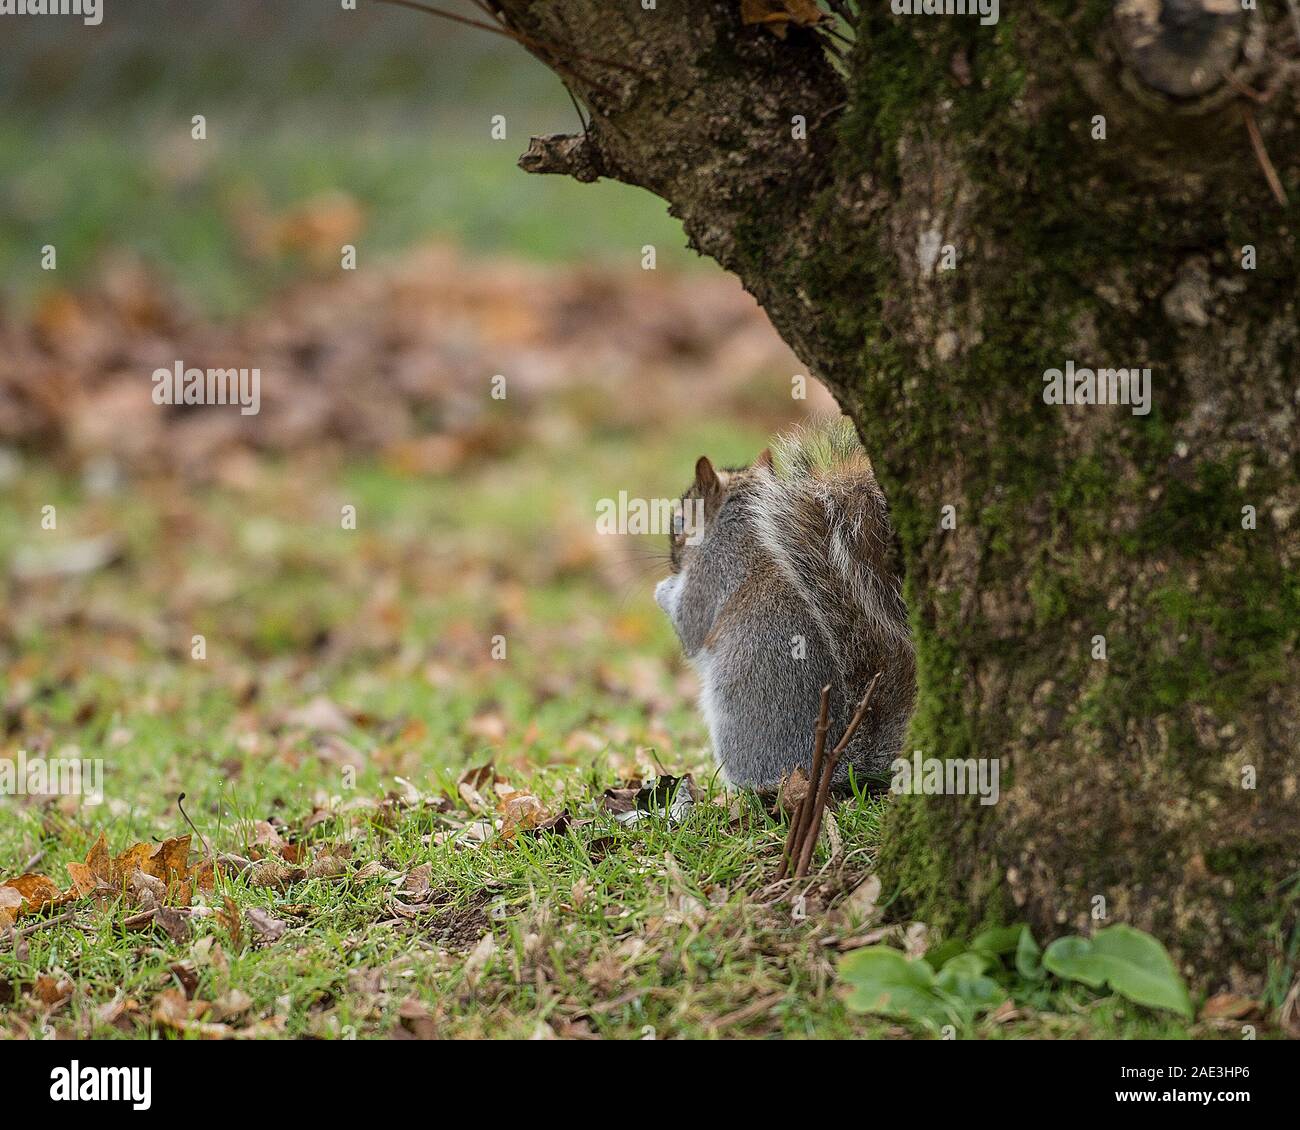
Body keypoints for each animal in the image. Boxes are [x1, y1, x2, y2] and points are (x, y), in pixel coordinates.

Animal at [654, 418, 915, 792]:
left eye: (678, 522)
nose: (672, 561)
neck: (739, 527)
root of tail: (836, 764)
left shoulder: (713, 570)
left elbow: (690, 622)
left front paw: (663, 589)